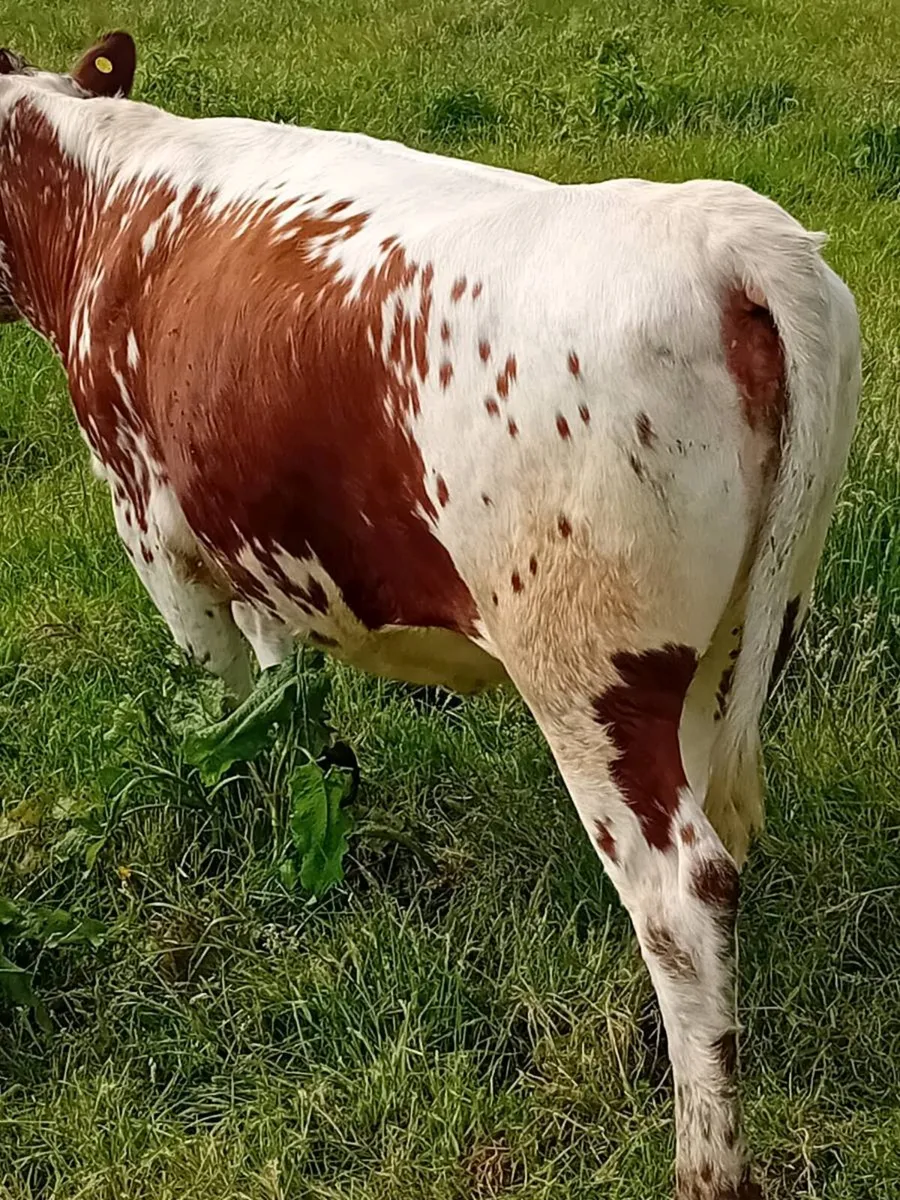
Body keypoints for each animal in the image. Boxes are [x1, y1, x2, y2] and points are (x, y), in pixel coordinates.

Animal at [0, 32, 861, 1199]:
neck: (105, 193)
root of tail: (731, 235)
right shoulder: (267, 556)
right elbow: (290, 712)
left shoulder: (160, 540)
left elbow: (219, 719)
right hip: (741, 637)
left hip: (588, 675)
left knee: (680, 894)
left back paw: (704, 1162)